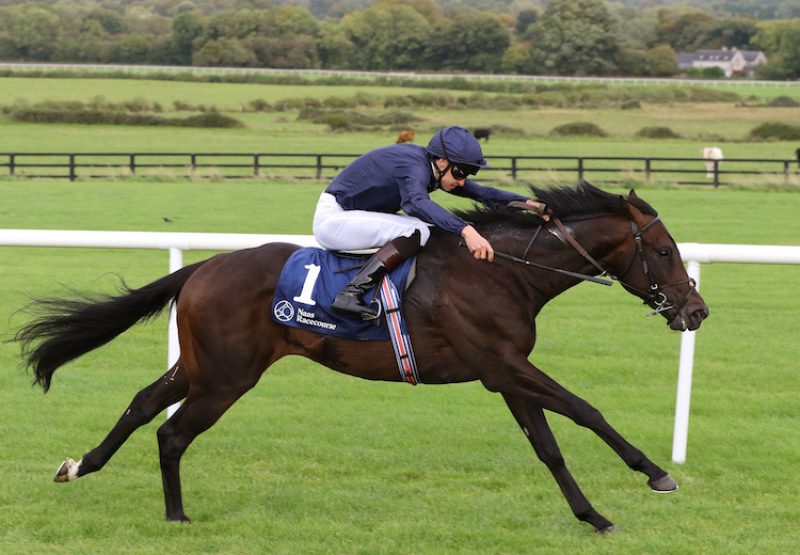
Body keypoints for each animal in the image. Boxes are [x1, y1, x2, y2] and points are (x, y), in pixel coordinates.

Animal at [17, 184, 708, 536]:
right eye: (665, 251)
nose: (696, 311)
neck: (501, 270)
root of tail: (202, 267)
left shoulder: (504, 372)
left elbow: (549, 447)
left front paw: (593, 515)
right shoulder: (502, 364)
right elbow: (586, 410)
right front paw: (656, 473)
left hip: (203, 365)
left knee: (142, 408)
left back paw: (81, 466)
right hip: (227, 376)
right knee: (173, 432)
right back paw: (177, 515)